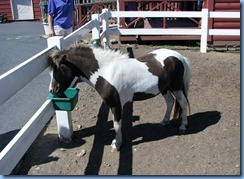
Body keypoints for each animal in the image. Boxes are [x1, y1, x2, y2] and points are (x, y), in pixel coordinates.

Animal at [48, 44, 191, 152]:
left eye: (60, 68)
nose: (53, 90)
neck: (106, 71)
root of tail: (179, 57)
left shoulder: (116, 105)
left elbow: (117, 126)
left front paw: (116, 145)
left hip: (176, 88)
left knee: (183, 103)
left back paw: (183, 127)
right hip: (164, 88)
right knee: (170, 102)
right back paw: (164, 121)